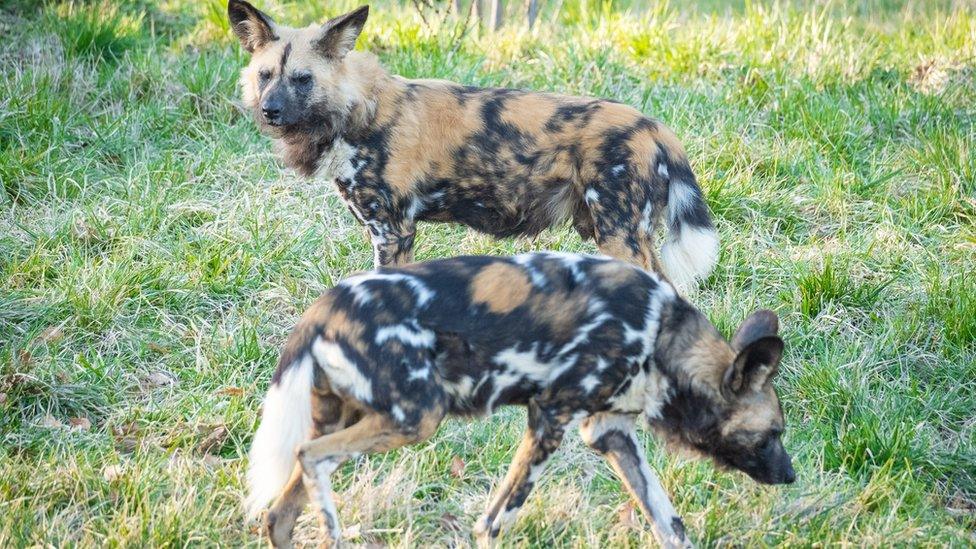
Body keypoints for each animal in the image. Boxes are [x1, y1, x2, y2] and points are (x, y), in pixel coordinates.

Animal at [227, 1, 716, 286]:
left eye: (302, 80)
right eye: (265, 75)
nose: (269, 110)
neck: (357, 111)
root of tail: (653, 125)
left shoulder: (392, 232)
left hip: (618, 235)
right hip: (608, 231)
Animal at [248, 254, 796, 548]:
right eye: (772, 434)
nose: (791, 475)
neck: (661, 339)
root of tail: (323, 308)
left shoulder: (609, 432)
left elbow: (670, 524)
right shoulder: (549, 419)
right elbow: (494, 521)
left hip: (353, 417)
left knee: (280, 512)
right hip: (416, 418)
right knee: (308, 457)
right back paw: (334, 530)